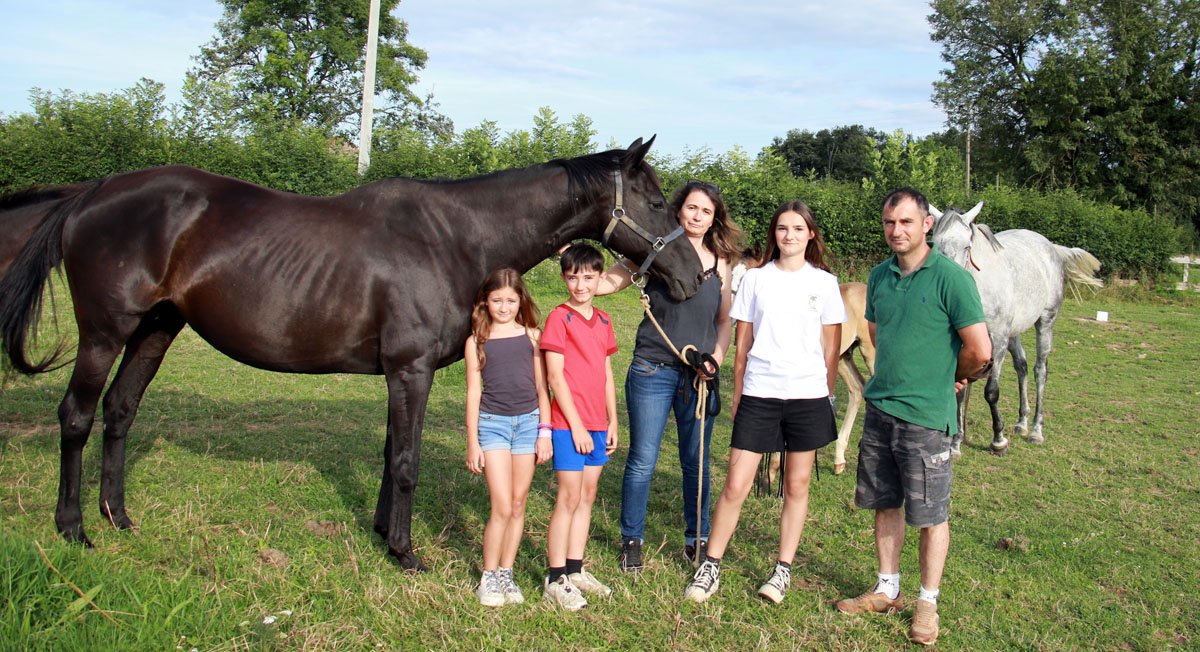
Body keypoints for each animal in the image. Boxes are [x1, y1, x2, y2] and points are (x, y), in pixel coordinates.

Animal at [0, 137, 704, 571]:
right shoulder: (410, 370)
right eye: (652, 200)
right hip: (104, 333)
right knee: (77, 417)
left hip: (154, 330)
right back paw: (74, 528)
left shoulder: (400, 373)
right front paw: (407, 553)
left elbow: (391, 455)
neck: (455, 236)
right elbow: (407, 462)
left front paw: (383, 536)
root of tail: (92, 193)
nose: (693, 276)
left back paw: (118, 517)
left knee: (119, 413)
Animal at [929, 202, 1102, 455]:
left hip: (1045, 322)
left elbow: (991, 391)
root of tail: (1049, 246)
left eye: (967, 246)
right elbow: (959, 391)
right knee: (1022, 366)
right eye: (935, 244)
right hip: (1015, 332)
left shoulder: (998, 340)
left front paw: (998, 440)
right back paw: (1022, 422)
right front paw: (955, 444)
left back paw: (1036, 430)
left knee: (1040, 371)